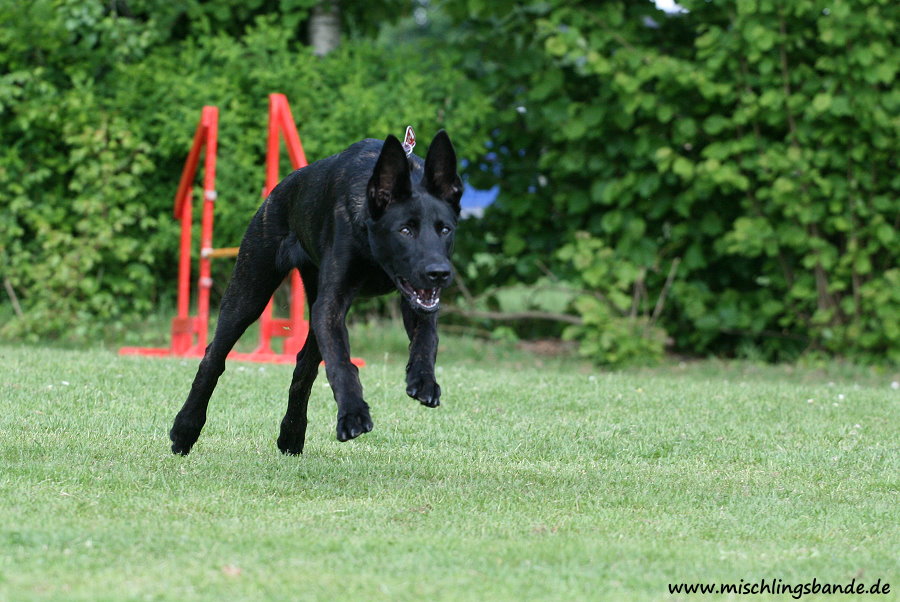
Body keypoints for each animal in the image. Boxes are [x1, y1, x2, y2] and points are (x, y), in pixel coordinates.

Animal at [170, 129, 464, 452]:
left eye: (445, 229)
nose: (439, 273)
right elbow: (341, 363)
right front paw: (353, 414)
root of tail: (281, 189)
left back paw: (291, 434)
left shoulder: (413, 296)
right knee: (213, 358)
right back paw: (185, 429)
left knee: (304, 367)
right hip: (249, 293)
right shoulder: (331, 305)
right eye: (405, 230)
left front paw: (423, 380)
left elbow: (427, 338)